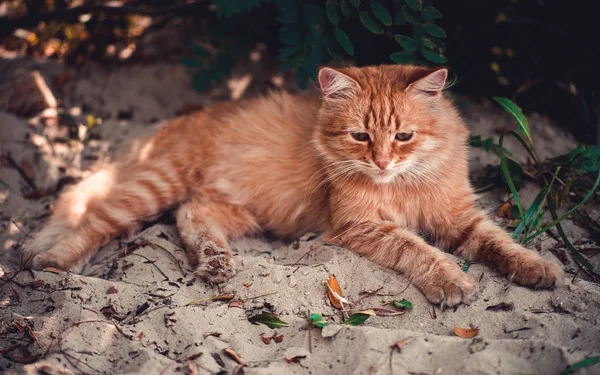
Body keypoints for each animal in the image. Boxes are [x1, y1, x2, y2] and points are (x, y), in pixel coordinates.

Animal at [21, 64, 564, 306]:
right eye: (360, 137)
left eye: (403, 137)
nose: (382, 161)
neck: (404, 185)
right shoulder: (360, 226)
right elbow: (419, 250)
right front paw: (451, 282)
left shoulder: (460, 215)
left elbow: (499, 243)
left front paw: (538, 268)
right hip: (156, 184)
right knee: (94, 219)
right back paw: (51, 260)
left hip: (235, 211)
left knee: (191, 216)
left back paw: (216, 262)